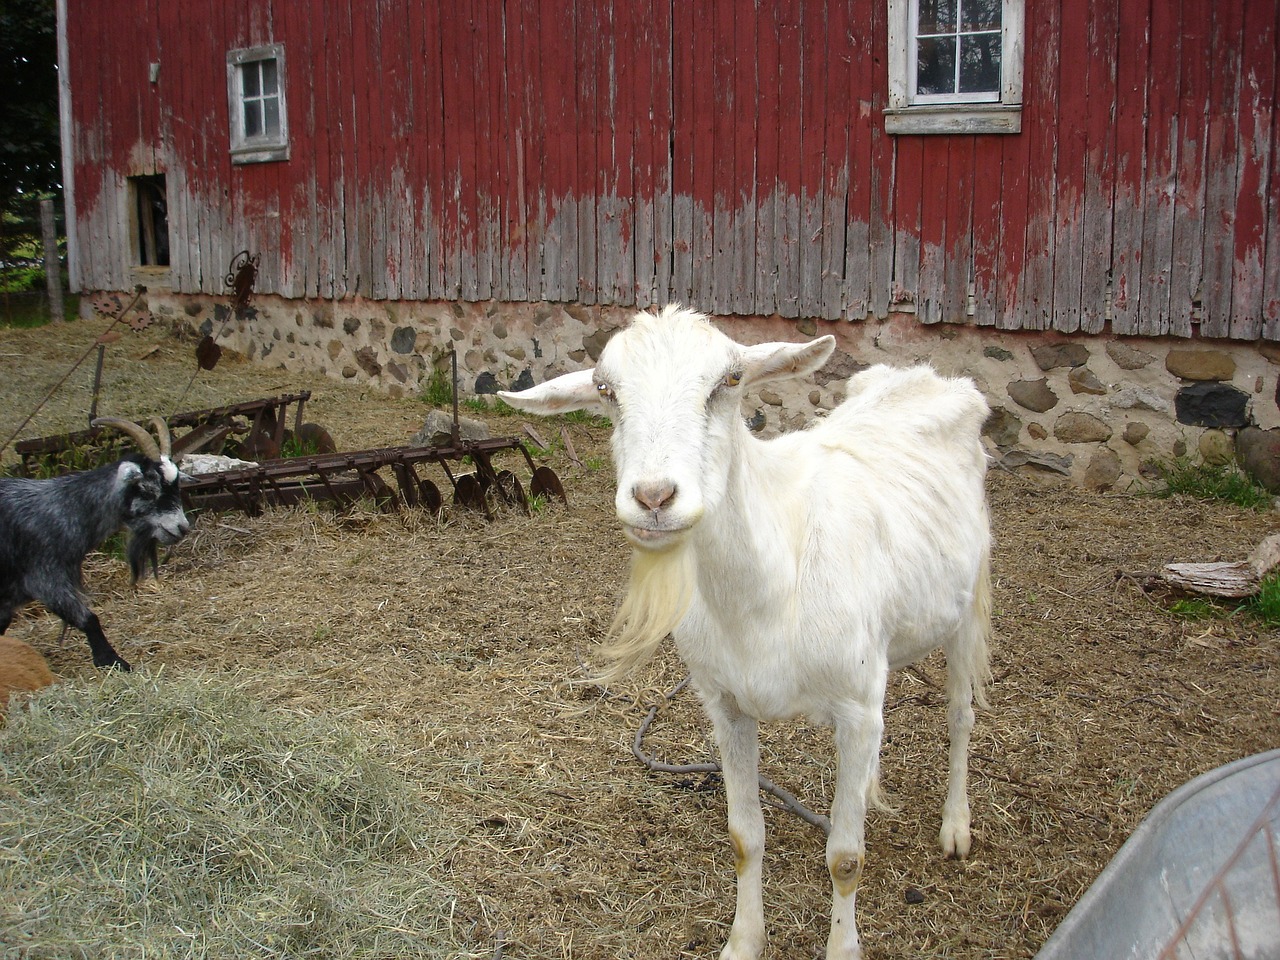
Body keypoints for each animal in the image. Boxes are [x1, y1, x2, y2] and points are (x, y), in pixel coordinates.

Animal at [0, 417, 190, 670]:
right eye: (147, 489)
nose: (182, 527)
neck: (63, 508)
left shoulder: (9, 597)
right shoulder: (45, 576)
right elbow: (89, 619)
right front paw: (114, 661)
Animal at [499, 305, 988, 960]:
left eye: (729, 381)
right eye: (605, 391)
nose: (654, 497)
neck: (769, 587)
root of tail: (926, 376)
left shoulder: (856, 703)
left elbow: (846, 857)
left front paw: (842, 946)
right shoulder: (725, 703)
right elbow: (744, 835)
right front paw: (743, 940)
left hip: (968, 600)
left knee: (961, 713)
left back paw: (956, 826)